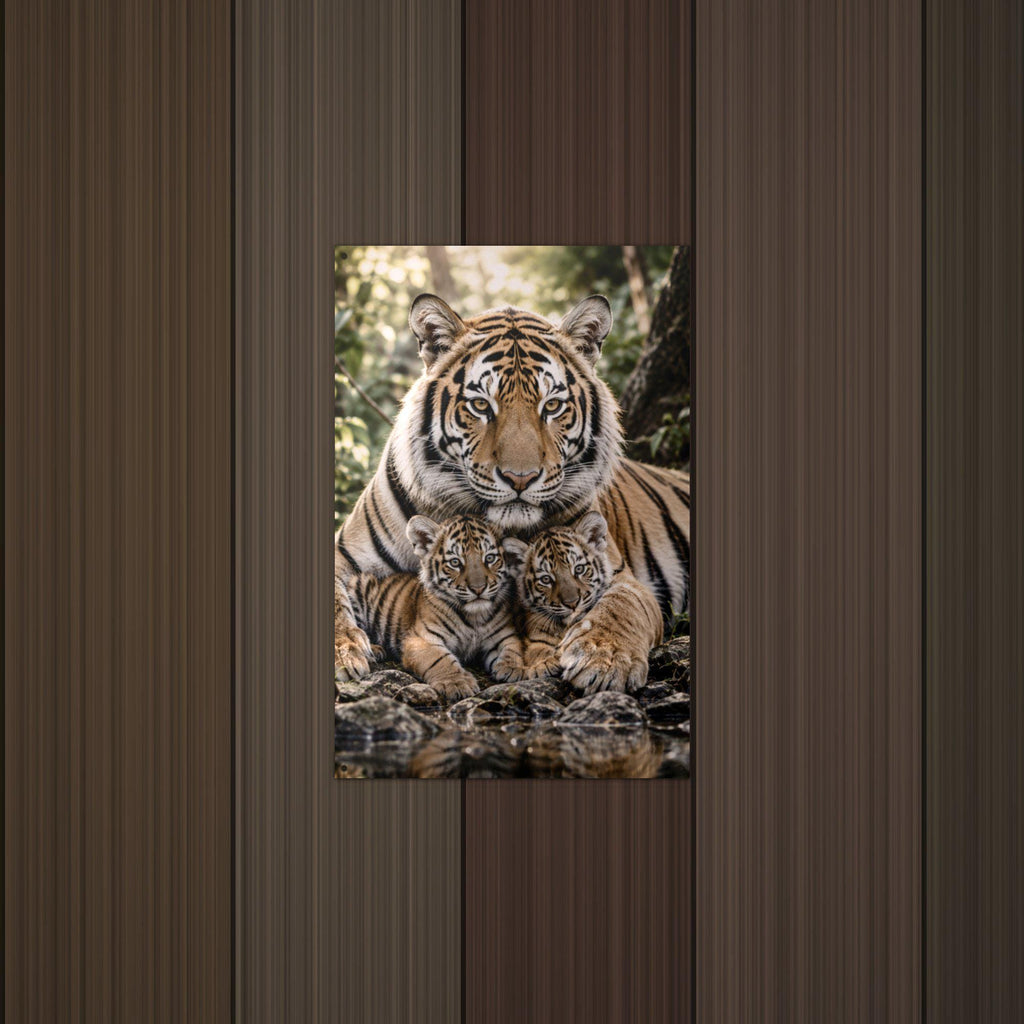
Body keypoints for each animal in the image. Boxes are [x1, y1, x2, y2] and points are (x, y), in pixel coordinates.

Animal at [348, 514, 526, 700]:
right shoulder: (421, 639)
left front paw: (513, 668)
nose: (478, 588)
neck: (474, 616)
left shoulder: (503, 634)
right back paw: (373, 650)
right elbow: (440, 659)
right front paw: (457, 683)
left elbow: (512, 648)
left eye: (490, 558)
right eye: (455, 562)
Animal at [501, 511, 614, 682]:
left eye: (579, 569)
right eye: (546, 579)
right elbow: (538, 651)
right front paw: (544, 665)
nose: (572, 603)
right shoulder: (535, 638)